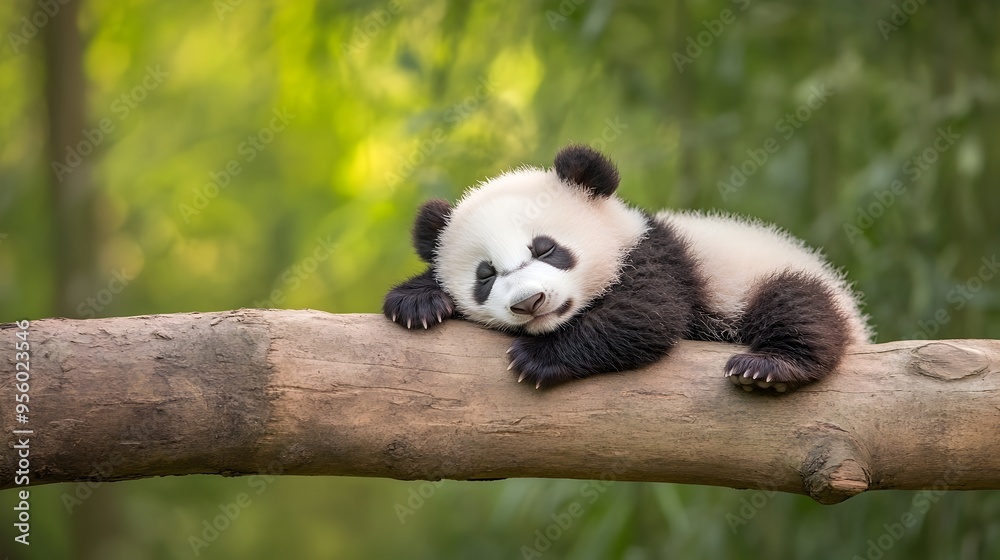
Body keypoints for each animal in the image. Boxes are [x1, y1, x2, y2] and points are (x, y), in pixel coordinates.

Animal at [383, 145, 872, 392]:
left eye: (546, 249)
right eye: (485, 275)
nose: (530, 302)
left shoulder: (654, 255)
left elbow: (645, 314)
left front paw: (539, 358)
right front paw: (417, 302)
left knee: (798, 304)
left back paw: (772, 367)